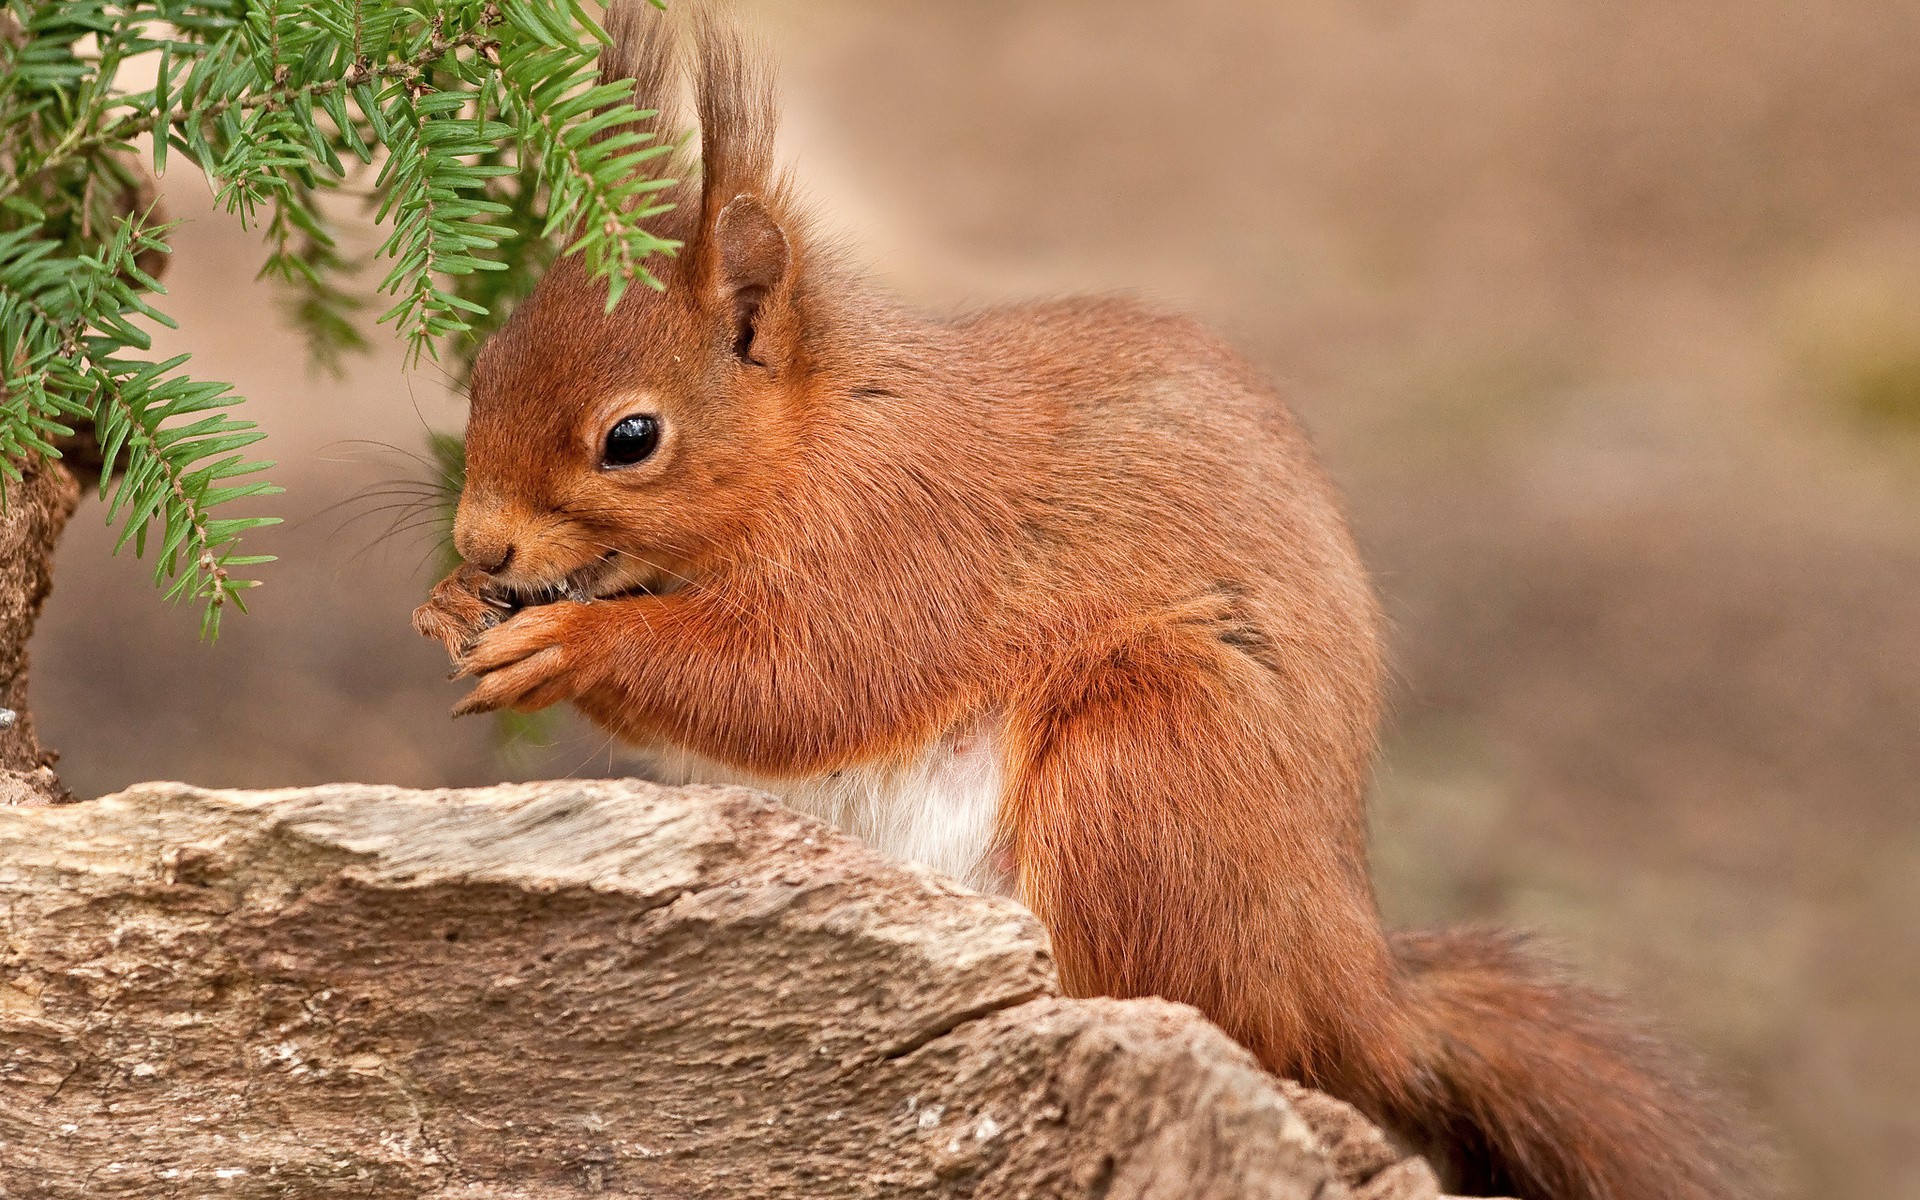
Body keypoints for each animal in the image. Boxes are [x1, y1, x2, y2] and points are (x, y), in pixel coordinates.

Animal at [413, 5, 1752, 1197]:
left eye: (631, 438)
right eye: (484, 370)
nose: (480, 541)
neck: (821, 434)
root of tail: (1354, 986)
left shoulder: (910, 543)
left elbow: (796, 683)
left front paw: (568, 645)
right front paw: (448, 604)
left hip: (1147, 763)